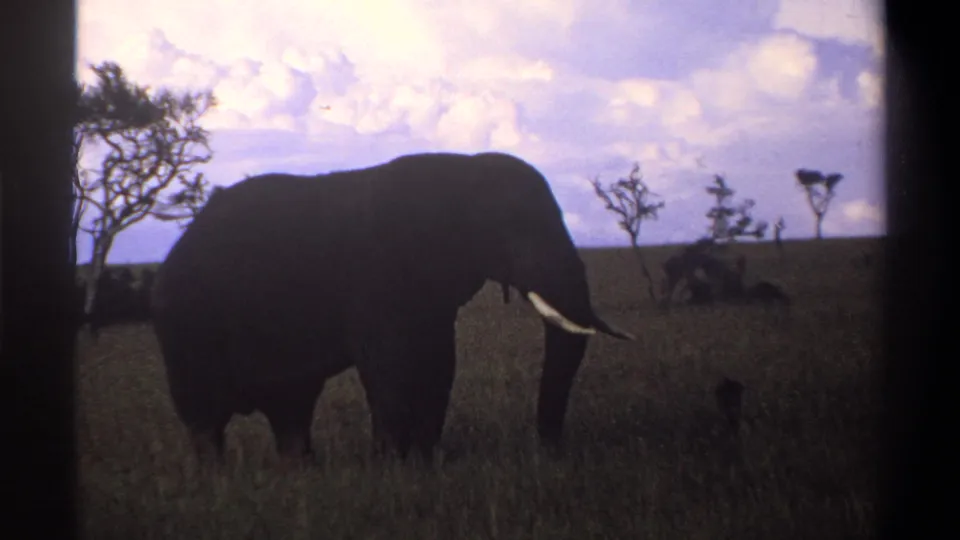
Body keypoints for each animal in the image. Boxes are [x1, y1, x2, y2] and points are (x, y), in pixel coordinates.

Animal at [151, 151, 635, 467]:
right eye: (514, 226)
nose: (547, 452)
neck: (460, 169)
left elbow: (438, 362)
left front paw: (424, 463)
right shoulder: (375, 274)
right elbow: (391, 363)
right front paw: (394, 469)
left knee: (291, 408)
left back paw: (301, 472)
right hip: (186, 326)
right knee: (204, 415)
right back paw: (217, 480)